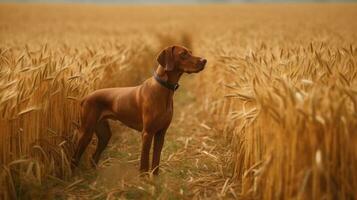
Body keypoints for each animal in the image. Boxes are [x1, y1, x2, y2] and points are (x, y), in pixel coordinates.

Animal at [71, 45, 206, 175]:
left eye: (190, 52)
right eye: (183, 54)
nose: (204, 60)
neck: (163, 89)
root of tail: (84, 97)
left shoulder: (161, 133)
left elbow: (156, 162)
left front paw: (154, 179)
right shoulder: (147, 133)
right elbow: (144, 162)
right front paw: (144, 179)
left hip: (104, 135)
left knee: (93, 157)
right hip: (86, 132)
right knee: (74, 158)